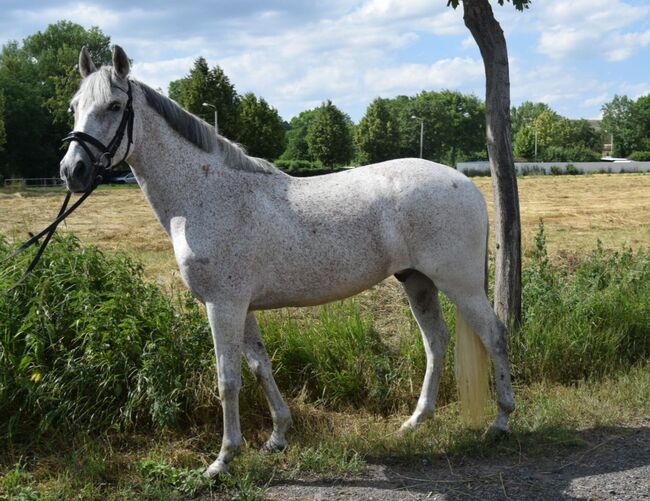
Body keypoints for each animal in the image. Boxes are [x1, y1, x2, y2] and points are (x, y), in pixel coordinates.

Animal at [59, 47, 512, 476]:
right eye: (74, 106)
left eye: (114, 106)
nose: (72, 170)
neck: (205, 195)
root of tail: (465, 183)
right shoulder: (241, 307)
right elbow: (260, 366)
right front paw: (277, 437)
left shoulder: (222, 306)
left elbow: (228, 379)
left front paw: (223, 459)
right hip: (417, 280)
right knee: (436, 342)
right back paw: (415, 422)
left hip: (460, 284)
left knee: (494, 335)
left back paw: (501, 423)